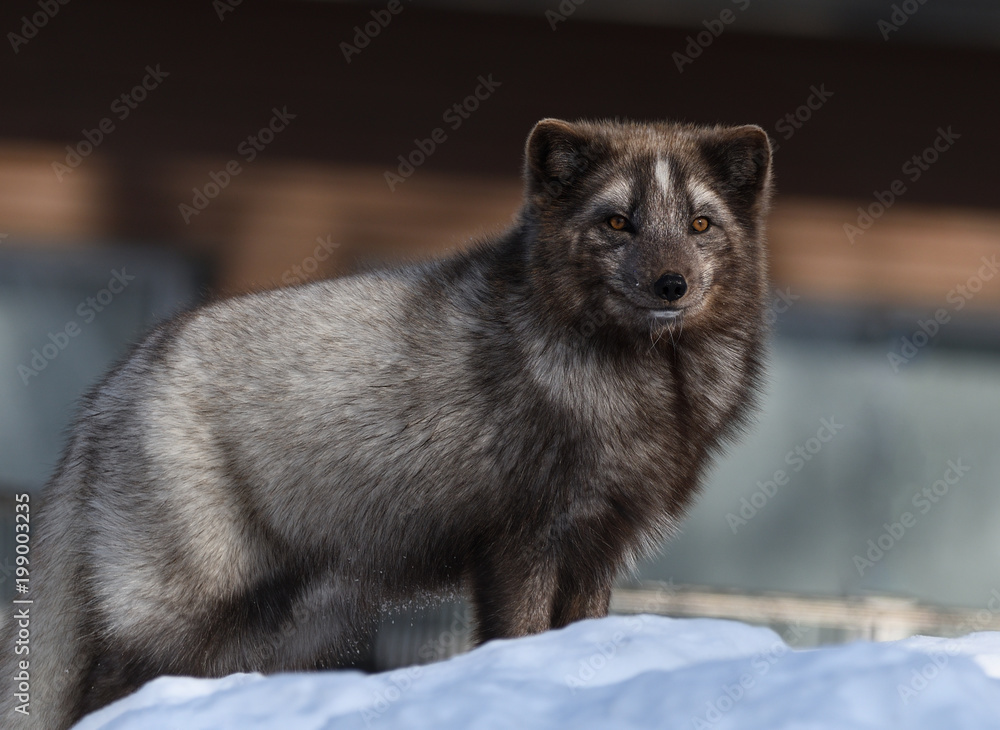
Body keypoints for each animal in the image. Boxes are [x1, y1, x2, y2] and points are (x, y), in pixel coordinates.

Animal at [0, 117, 773, 729]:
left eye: (700, 224)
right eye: (617, 222)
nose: (670, 285)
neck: (650, 383)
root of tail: (110, 391)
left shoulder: (601, 541)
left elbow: (579, 632)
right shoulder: (522, 536)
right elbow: (518, 634)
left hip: (283, 628)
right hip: (181, 607)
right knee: (104, 690)